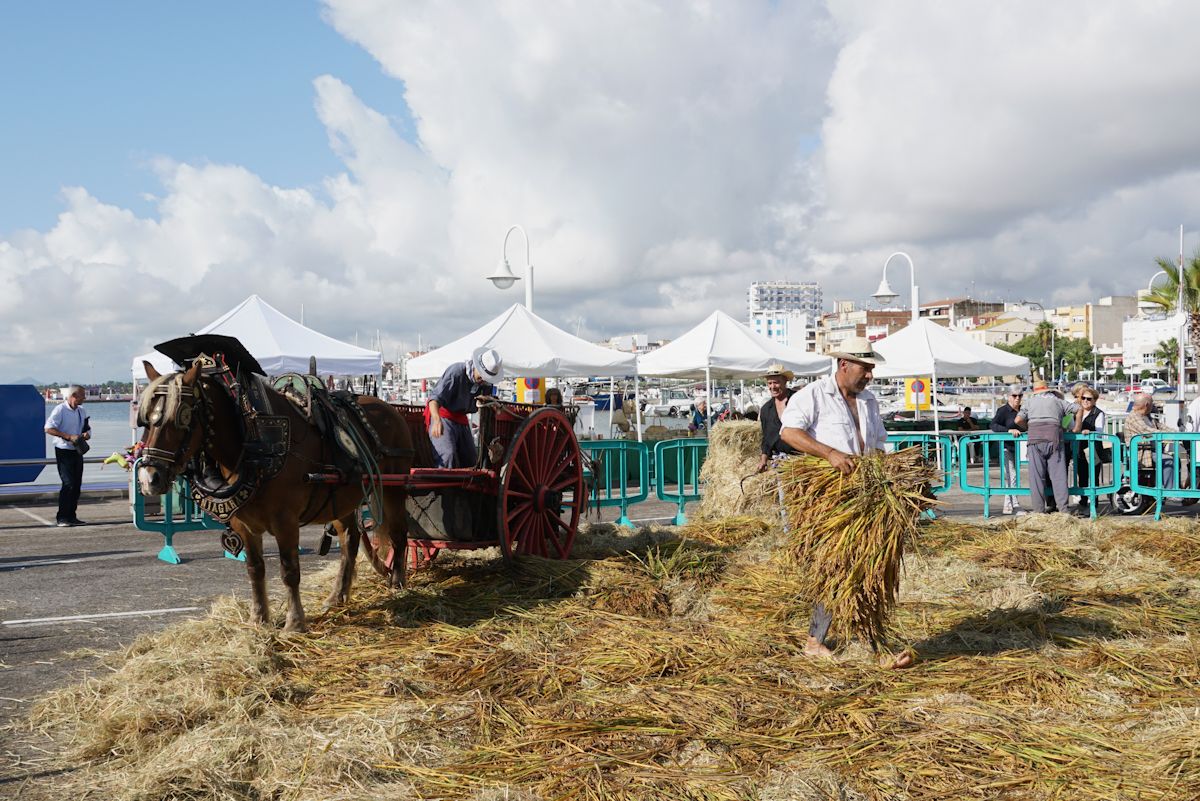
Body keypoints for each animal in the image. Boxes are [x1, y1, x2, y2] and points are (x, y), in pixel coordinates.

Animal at [137, 357, 412, 633]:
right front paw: (258, 619)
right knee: (350, 540)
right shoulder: (244, 524)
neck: (255, 444)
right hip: (341, 500)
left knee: (398, 533)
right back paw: (338, 596)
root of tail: (389, 409)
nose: (149, 478)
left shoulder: (285, 521)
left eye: (181, 417)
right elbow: (255, 569)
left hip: (394, 488)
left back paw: (398, 584)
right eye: (146, 419)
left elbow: (289, 571)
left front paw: (294, 623)